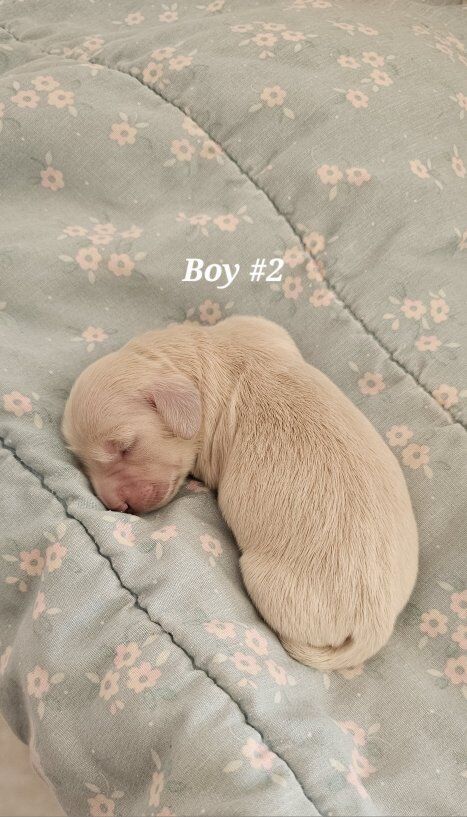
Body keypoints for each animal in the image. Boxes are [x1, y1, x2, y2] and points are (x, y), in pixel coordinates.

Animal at [62, 316, 418, 670]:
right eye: (81, 461)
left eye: (125, 447)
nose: (116, 506)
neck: (193, 360)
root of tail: (375, 627)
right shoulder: (258, 327)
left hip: (269, 583)